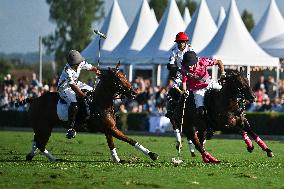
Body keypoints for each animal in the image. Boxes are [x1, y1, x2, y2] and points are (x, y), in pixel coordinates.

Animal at [25, 63, 159, 162]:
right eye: (119, 78)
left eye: (125, 76)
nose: (134, 93)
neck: (101, 103)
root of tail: (34, 100)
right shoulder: (111, 128)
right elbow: (130, 140)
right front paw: (152, 154)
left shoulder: (109, 128)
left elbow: (111, 144)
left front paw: (117, 159)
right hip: (44, 127)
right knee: (40, 144)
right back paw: (54, 158)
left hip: (42, 128)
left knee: (36, 142)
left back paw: (30, 155)